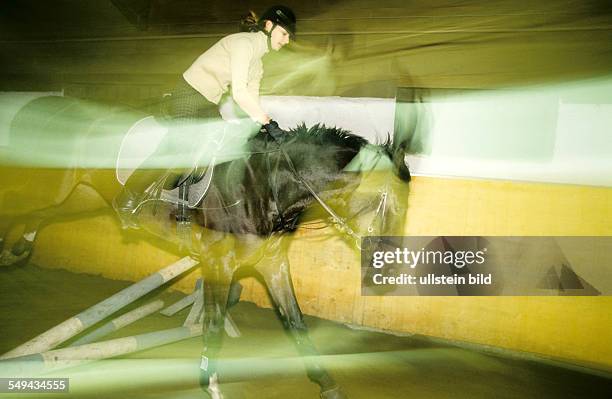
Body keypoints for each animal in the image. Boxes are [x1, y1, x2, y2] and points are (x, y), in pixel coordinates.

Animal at [1, 96, 412, 396]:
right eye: (384, 202)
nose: (387, 269)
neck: (266, 184)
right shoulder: (219, 264)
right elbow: (213, 326)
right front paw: (210, 384)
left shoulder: (272, 265)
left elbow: (295, 323)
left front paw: (327, 385)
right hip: (54, 191)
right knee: (19, 206)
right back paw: (9, 251)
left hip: (78, 197)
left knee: (37, 216)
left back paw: (18, 248)